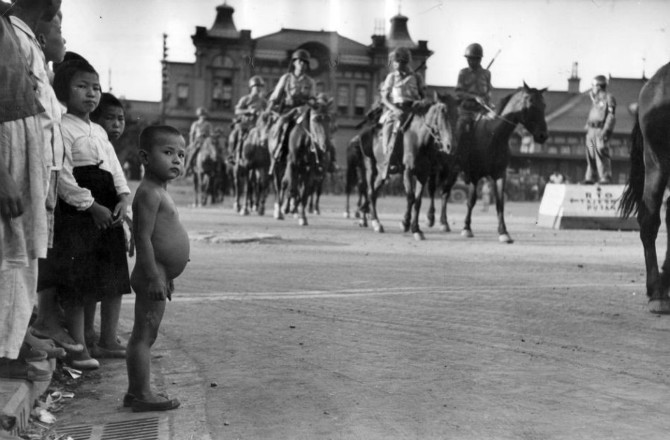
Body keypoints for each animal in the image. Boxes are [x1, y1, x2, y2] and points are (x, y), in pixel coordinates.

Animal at [360, 93, 460, 241]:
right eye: (440, 119)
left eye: (455, 117)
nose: (450, 146)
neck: (418, 140)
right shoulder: (408, 171)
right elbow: (410, 197)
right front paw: (405, 223)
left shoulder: (423, 174)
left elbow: (418, 201)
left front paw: (416, 229)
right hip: (370, 165)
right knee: (371, 191)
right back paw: (376, 222)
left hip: (383, 171)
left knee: (374, 191)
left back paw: (368, 217)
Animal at [446, 84, 552, 242]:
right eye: (530, 104)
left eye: (544, 105)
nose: (542, 135)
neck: (492, 136)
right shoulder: (475, 175)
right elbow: (471, 200)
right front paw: (466, 228)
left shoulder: (500, 174)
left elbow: (500, 203)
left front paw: (503, 232)